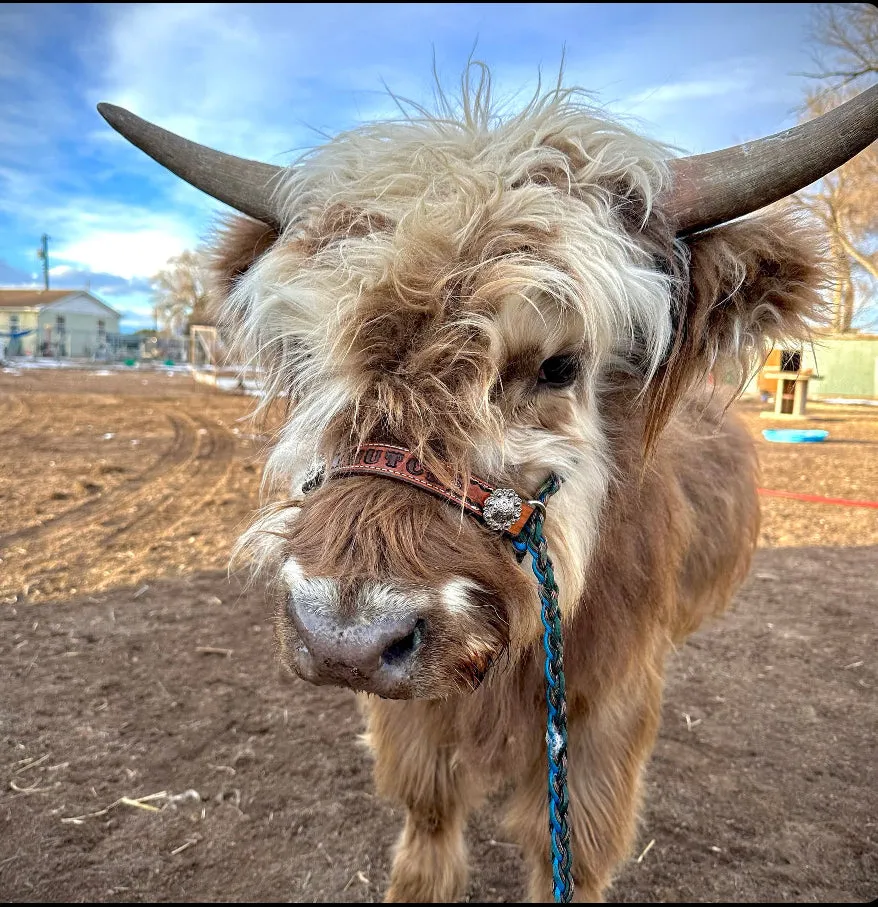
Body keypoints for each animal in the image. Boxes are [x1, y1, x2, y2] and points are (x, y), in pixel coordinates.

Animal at [99, 69, 876, 900]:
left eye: (560, 364)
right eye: (303, 353)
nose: (344, 636)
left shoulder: (604, 715)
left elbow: (572, 847)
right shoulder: (414, 714)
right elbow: (429, 811)